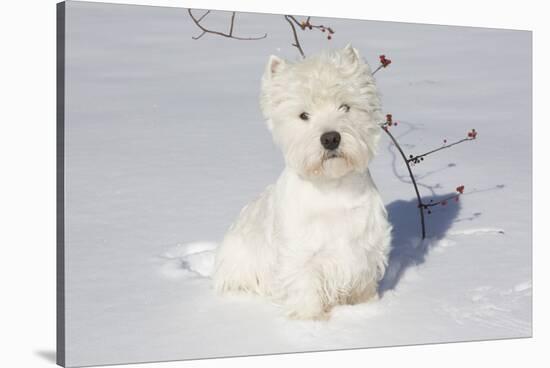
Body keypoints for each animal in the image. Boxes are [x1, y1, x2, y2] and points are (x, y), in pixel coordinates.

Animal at [215, 43, 392, 320]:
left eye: (345, 107)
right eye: (303, 115)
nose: (330, 138)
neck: (333, 189)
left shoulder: (365, 250)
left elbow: (361, 286)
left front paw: (365, 309)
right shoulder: (301, 257)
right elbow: (306, 291)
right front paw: (309, 321)